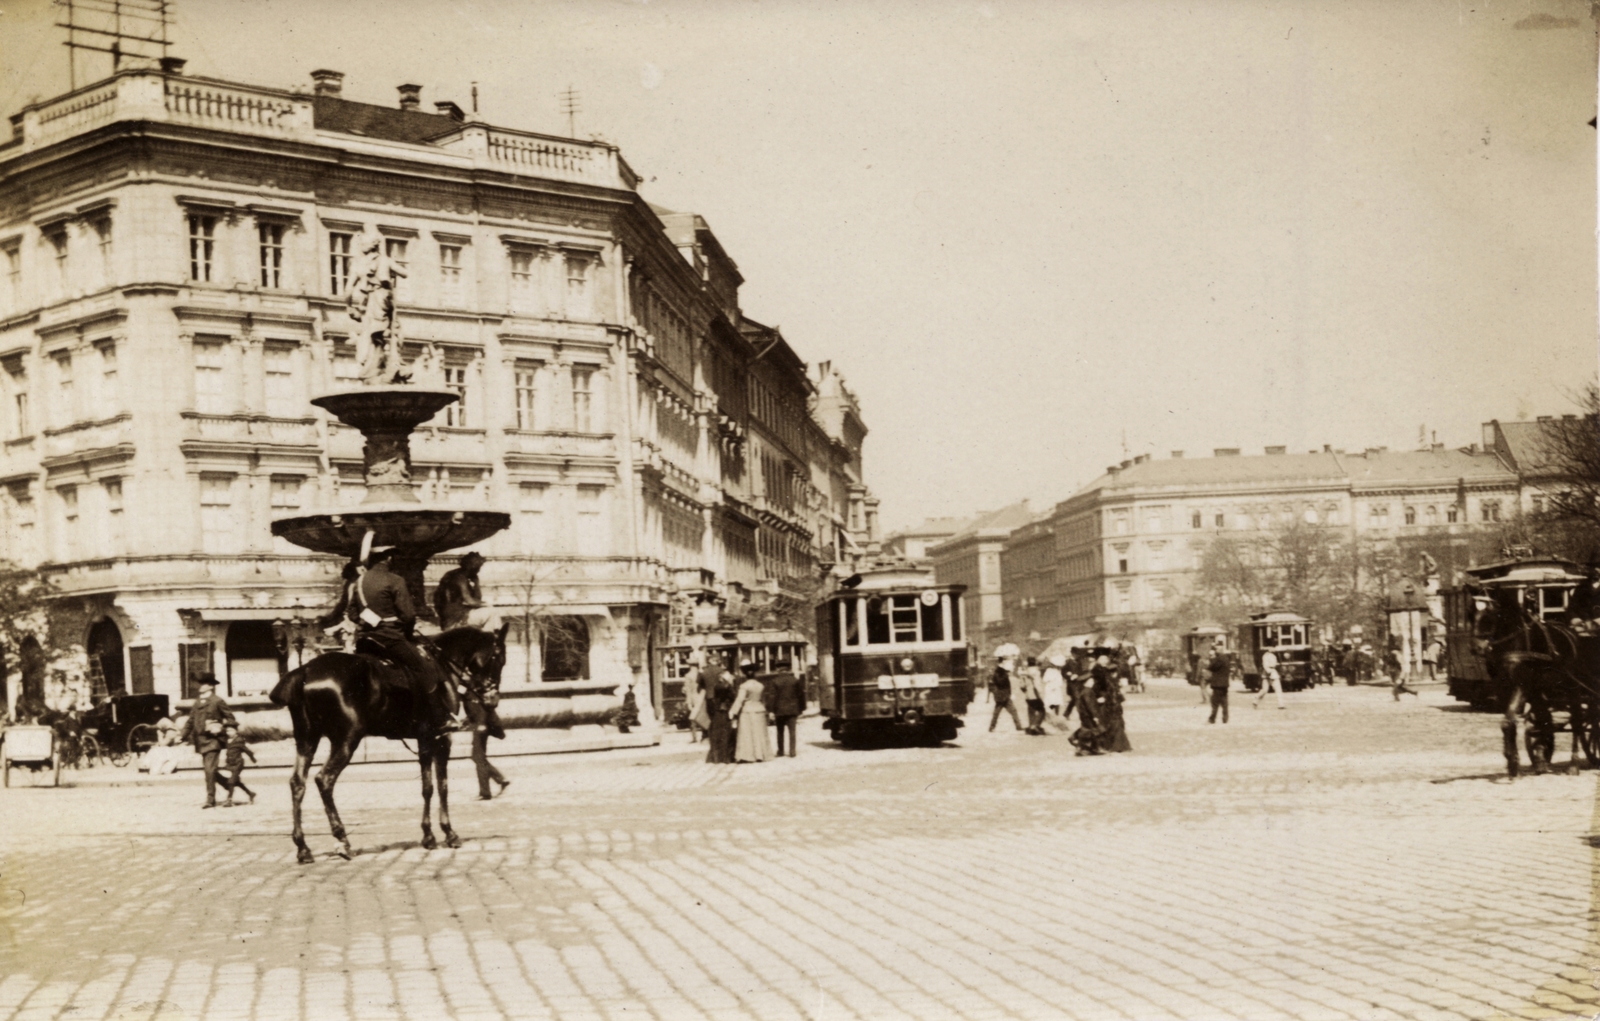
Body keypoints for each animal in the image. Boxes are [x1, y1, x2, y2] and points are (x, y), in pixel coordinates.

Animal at [268, 624, 505, 864]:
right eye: (499, 658)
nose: (493, 700)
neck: (442, 665)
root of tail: (305, 671)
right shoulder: (437, 738)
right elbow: (435, 787)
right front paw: (441, 834)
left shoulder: (426, 739)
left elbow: (433, 786)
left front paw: (435, 833)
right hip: (347, 740)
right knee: (324, 780)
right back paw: (342, 840)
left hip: (307, 739)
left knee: (298, 783)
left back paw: (303, 847)